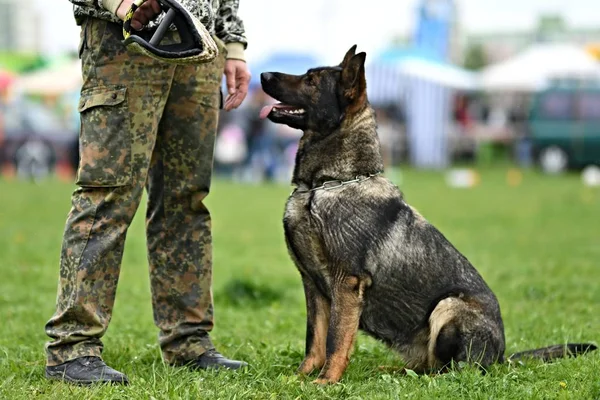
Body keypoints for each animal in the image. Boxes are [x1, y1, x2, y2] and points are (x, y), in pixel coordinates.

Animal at [258, 44, 596, 384]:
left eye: (311, 81)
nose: (263, 75)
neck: (325, 184)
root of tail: (501, 357)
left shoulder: (346, 284)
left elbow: (336, 339)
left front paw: (326, 381)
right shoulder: (314, 286)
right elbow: (314, 339)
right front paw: (301, 377)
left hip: (448, 307)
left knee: (454, 371)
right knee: (431, 365)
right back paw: (394, 371)